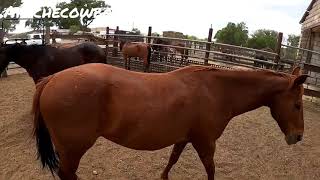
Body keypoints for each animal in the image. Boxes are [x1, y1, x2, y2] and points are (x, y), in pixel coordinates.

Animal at [31, 63, 308, 180]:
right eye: (297, 104)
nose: (298, 136)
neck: (216, 91)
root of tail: (52, 78)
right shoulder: (205, 143)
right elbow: (210, 169)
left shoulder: (185, 138)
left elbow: (172, 159)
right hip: (74, 148)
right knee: (67, 174)